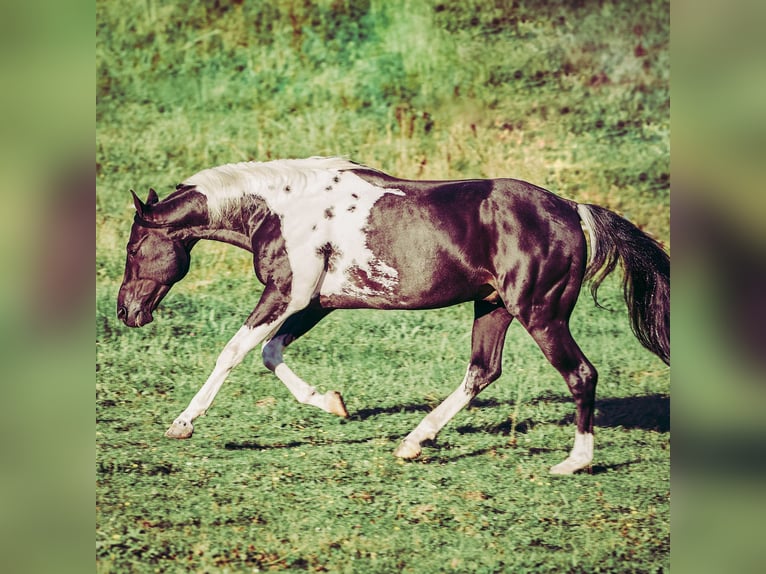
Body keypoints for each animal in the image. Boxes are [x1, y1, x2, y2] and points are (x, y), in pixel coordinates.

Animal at [117, 157, 669, 474]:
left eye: (133, 248)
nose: (127, 311)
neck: (279, 209)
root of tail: (573, 210)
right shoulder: (314, 304)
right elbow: (271, 354)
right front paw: (334, 403)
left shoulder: (286, 294)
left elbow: (233, 351)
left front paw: (182, 424)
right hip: (493, 306)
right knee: (483, 371)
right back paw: (413, 443)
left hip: (539, 311)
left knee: (580, 374)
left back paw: (575, 462)